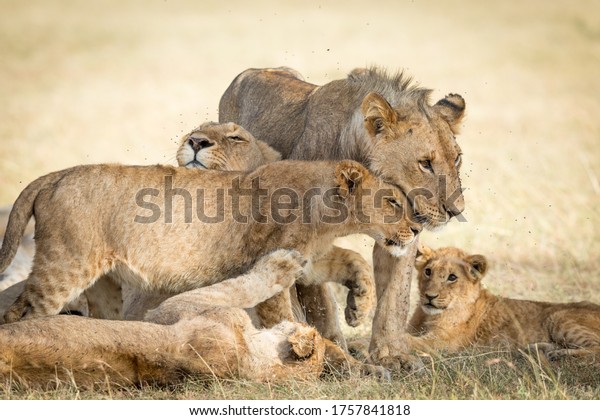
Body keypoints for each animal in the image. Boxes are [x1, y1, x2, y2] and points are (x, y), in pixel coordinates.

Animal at [218, 65, 466, 368]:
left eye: (457, 158)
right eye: (425, 163)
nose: (457, 211)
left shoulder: (401, 234)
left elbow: (395, 297)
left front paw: (392, 355)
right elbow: (319, 300)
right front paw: (334, 351)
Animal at [406, 246, 600, 358]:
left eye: (452, 277)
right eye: (428, 272)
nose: (429, 296)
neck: (427, 315)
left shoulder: (443, 342)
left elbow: (411, 341)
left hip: (559, 318)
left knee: (596, 348)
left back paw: (561, 354)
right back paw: (540, 349)